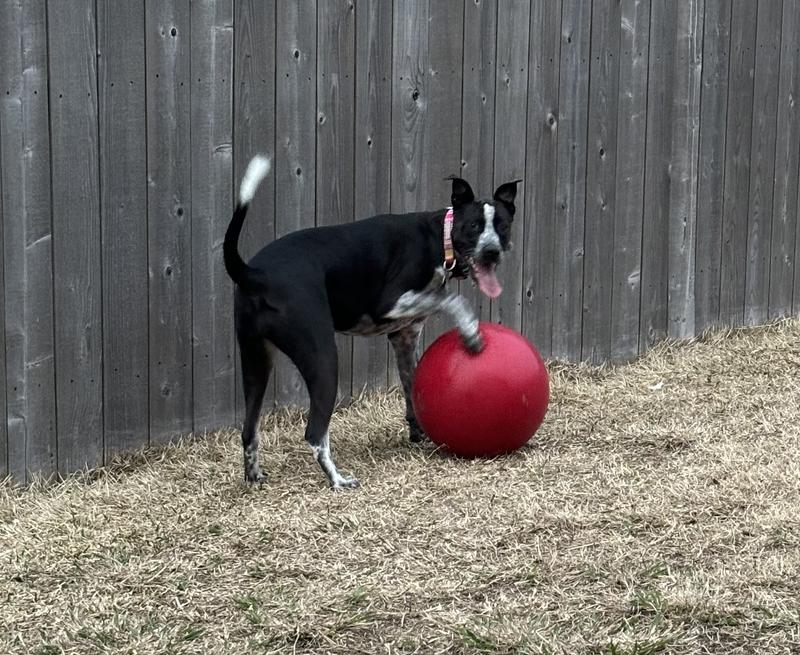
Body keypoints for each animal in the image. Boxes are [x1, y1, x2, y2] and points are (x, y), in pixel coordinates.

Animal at [224, 155, 519, 489]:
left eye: (502, 226)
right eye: (473, 227)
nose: (491, 252)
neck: (438, 237)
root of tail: (254, 274)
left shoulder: (404, 337)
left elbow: (410, 386)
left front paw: (417, 431)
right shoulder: (389, 303)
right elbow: (453, 301)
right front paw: (471, 333)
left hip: (256, 362)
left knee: (249, 429)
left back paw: (254, 476)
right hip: (323, 358)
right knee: (314, 433)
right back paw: (337, 479)